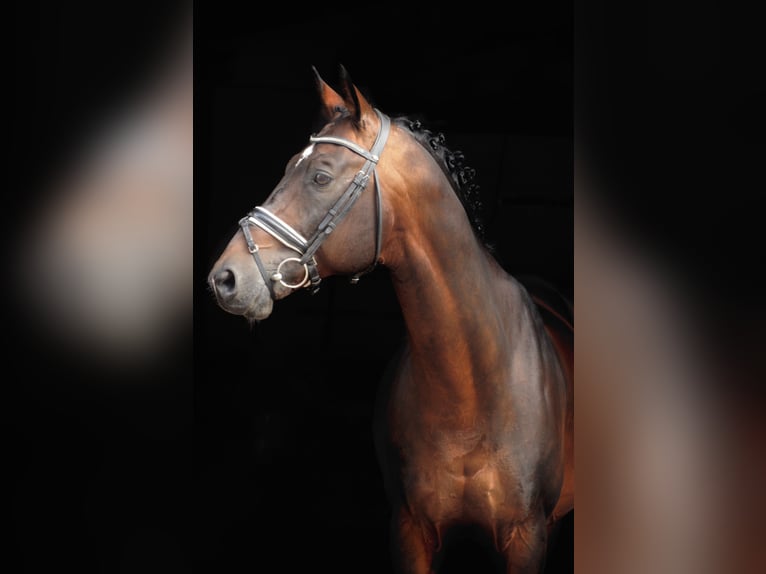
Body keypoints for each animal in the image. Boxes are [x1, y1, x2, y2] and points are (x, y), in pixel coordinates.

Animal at [207, 66, 573, 573]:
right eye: (288, 168)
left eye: (320, 176)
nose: (225, 278)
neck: (471, 390)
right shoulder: (410, 530)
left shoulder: (528, 536)